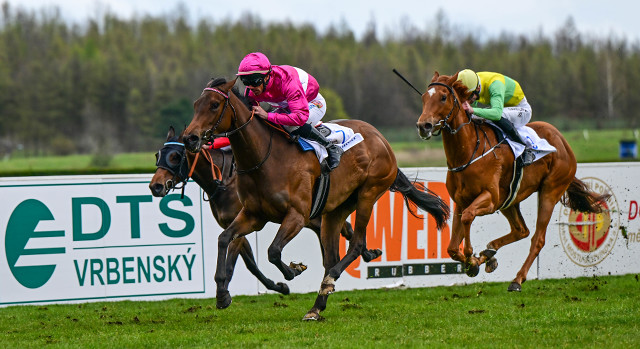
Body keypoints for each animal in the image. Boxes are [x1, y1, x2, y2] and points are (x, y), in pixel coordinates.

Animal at [148, 126, 372, 294]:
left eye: (176, 156)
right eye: (158, 154)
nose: (155, 186)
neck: (223, 181)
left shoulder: (242, 221)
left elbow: (233, 264)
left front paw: (224, 292)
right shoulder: (239, 224)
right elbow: (251, 265)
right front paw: (279, 286)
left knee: (346, 228)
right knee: (343, 229)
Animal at [182, 77, 448, 320]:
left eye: (214, 104)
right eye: (195, 104)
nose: (190, 138)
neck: (265, 158)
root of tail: (381, 138)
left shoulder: (297, 216)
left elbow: (273, 251)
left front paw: (293, 271)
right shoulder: (252, 215)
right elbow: (224, 239)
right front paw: (222, 294)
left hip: (368, 193)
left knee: (354, 245)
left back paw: (330, 281)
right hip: (335, 210)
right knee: (331, 257)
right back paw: (317, 306)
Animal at [416, 71, 608, 290]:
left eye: (443, 97)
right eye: (424, 97)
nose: (423, 126)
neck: (469, 152)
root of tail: (562, 141)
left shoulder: (490, 199)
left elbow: (468, 218)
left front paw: (471, 257)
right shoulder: (461, 201)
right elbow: (452, 248)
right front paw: (474, 262)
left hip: (550, 191)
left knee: (537, 239)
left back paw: (517, 279)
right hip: (509, 199)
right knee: (521, 230)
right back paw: (489, 253)